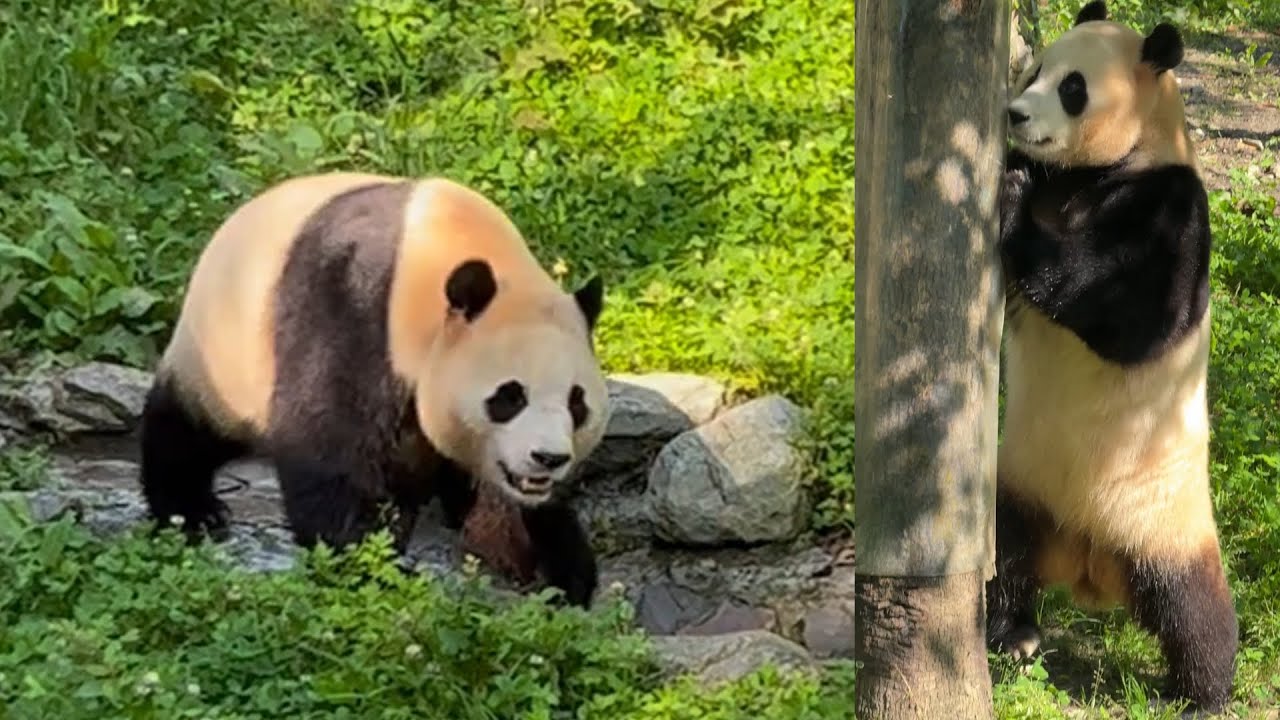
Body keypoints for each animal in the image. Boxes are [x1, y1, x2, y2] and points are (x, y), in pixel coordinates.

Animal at [137, 172, 610, 608]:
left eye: (577, 402)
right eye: (510, 396)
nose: (548, 458)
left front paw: (562, 568)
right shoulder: (354, 309)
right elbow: (328, 446)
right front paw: (374, 564)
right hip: (222, 355)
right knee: (186, 427)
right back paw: (192, 511)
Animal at [986, 2, 1237, 713]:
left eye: (1074, 88)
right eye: (1035, 69)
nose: (1016, 114)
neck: (1100, 171)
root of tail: (1088, 559)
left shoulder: (1170, 205)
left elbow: (1141, 317)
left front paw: (1013, 200)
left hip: (1166, 518)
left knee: (1194, 609)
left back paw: (1205, 691)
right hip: (1020, 481)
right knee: (1002, 552)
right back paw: (1012, 634)